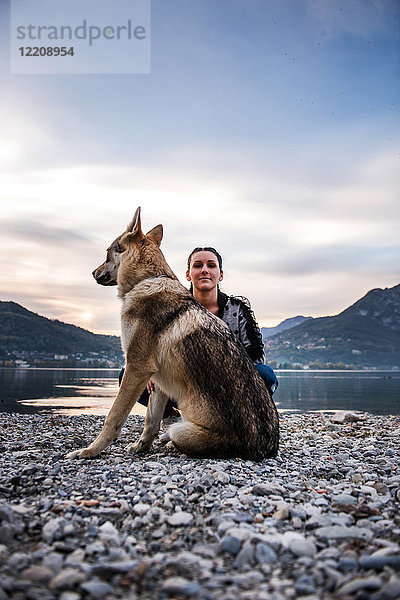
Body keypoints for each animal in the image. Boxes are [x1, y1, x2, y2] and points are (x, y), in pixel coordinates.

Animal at [65, 207, 278, 460]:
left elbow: (113, 417)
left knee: (174, 434)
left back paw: (170, 444)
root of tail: (266, 450)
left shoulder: (136, 367)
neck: (149, 279)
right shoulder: (155, 378)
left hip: (181, 430)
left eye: (107, 253)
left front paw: (90, 451)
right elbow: (151, 421)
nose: (92, 272)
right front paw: (141, 447)